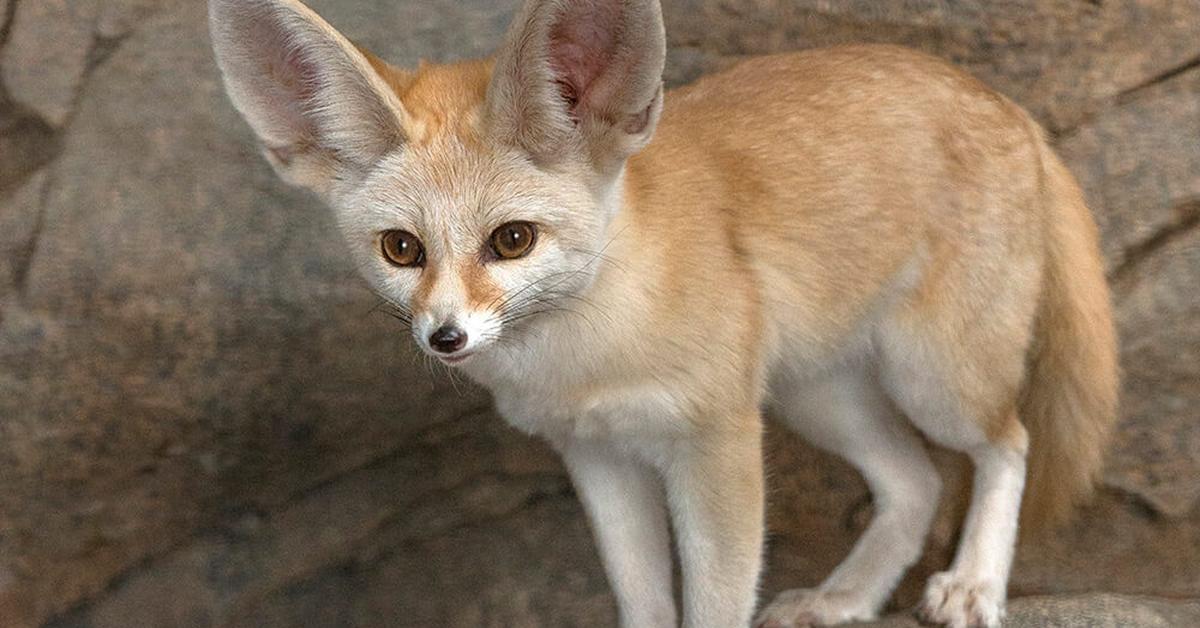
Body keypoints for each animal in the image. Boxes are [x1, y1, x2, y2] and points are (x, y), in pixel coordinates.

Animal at [211, 2, 1118, 624]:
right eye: (402, 249)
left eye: (511, 240)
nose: (446, 337)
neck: (588, 359)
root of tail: (1003, 104)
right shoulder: (597, 458)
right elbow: (644, 601)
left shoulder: (715, 444)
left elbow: (713, 600)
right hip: (819, 398)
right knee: (916, 482)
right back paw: (844, 598)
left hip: (932, 378)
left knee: (1008, 444)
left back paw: (973, 585)